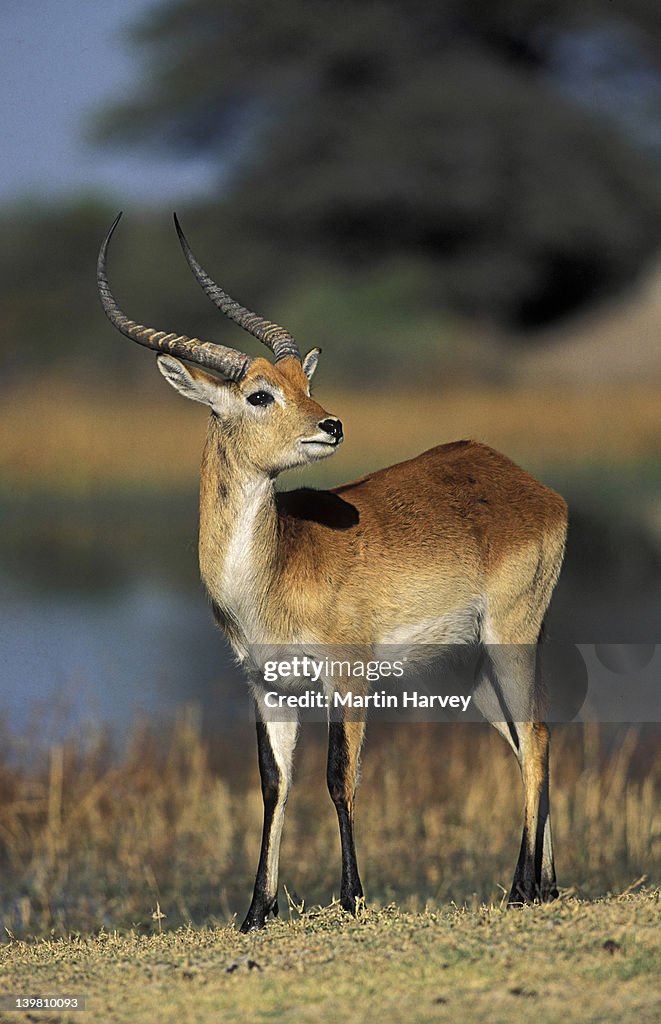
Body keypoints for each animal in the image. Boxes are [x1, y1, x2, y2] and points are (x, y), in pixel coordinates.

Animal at [98, 211, 568, 933]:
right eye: (261, 393)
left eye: (305, 384)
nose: (332, 423)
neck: (271, 570)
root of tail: (525, 483)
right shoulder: (268, 686)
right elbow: (273, 784)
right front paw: (255, 912)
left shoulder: (347, 674)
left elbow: (337, 776)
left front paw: (350, 896)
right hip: (472, 672)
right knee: (524, 742)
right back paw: (544, 885)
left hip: (507, 638)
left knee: (538, 736)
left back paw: (521, 888)